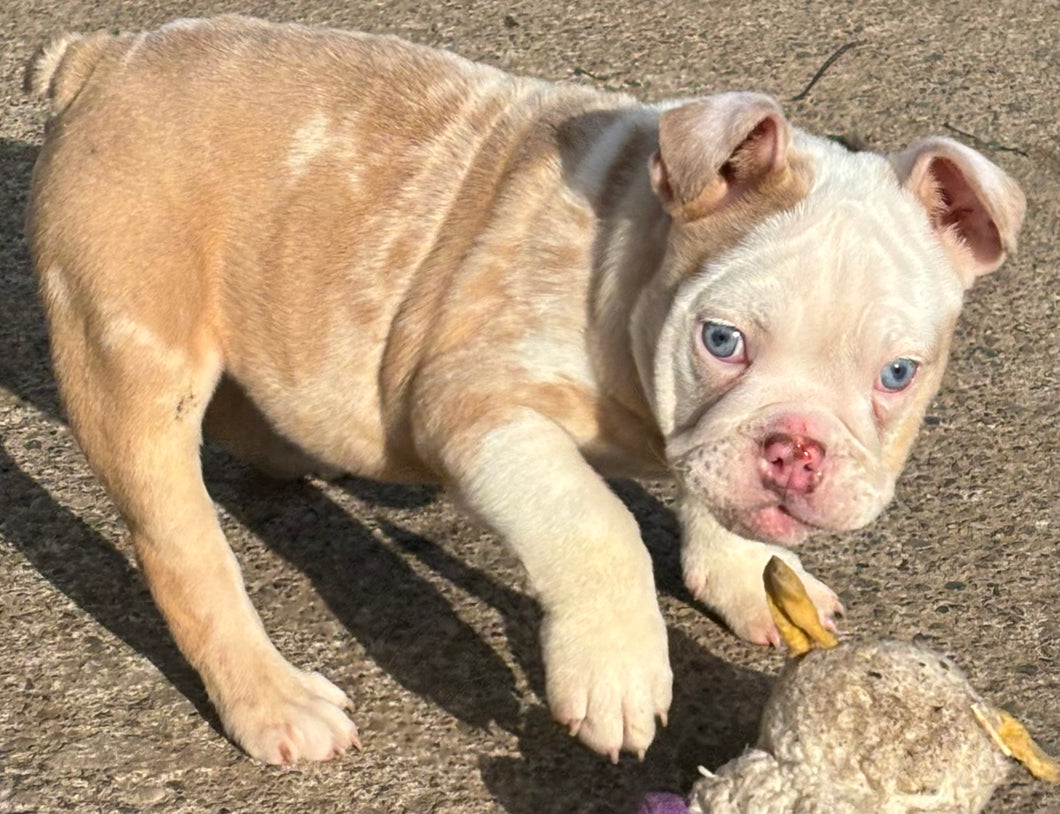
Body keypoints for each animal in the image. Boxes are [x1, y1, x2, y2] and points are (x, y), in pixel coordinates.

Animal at [22, 17, 1017, 771]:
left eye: (898, 374)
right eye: (721, 341)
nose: (798, 450)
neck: (634, 257)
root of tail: (104, 57)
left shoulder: (708, 446)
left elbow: (719, 497)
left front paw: (746, 575)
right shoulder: (478, 402)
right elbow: (595, 522)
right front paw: (618, 671)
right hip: (132, 349)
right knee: (183, 543)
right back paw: (272, 701)